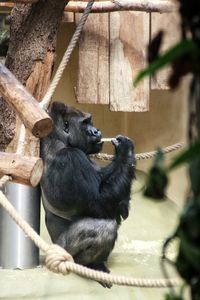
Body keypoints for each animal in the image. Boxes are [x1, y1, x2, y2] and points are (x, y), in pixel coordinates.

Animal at [40, 101, 135, 286]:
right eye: (85, 123)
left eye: (90, 121)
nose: (96, 131)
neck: (59, 139)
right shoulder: (71, 158)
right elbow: (100, 202)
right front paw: (125, 150)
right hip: (62, 250)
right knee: (104, 227)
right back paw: (90, 266)